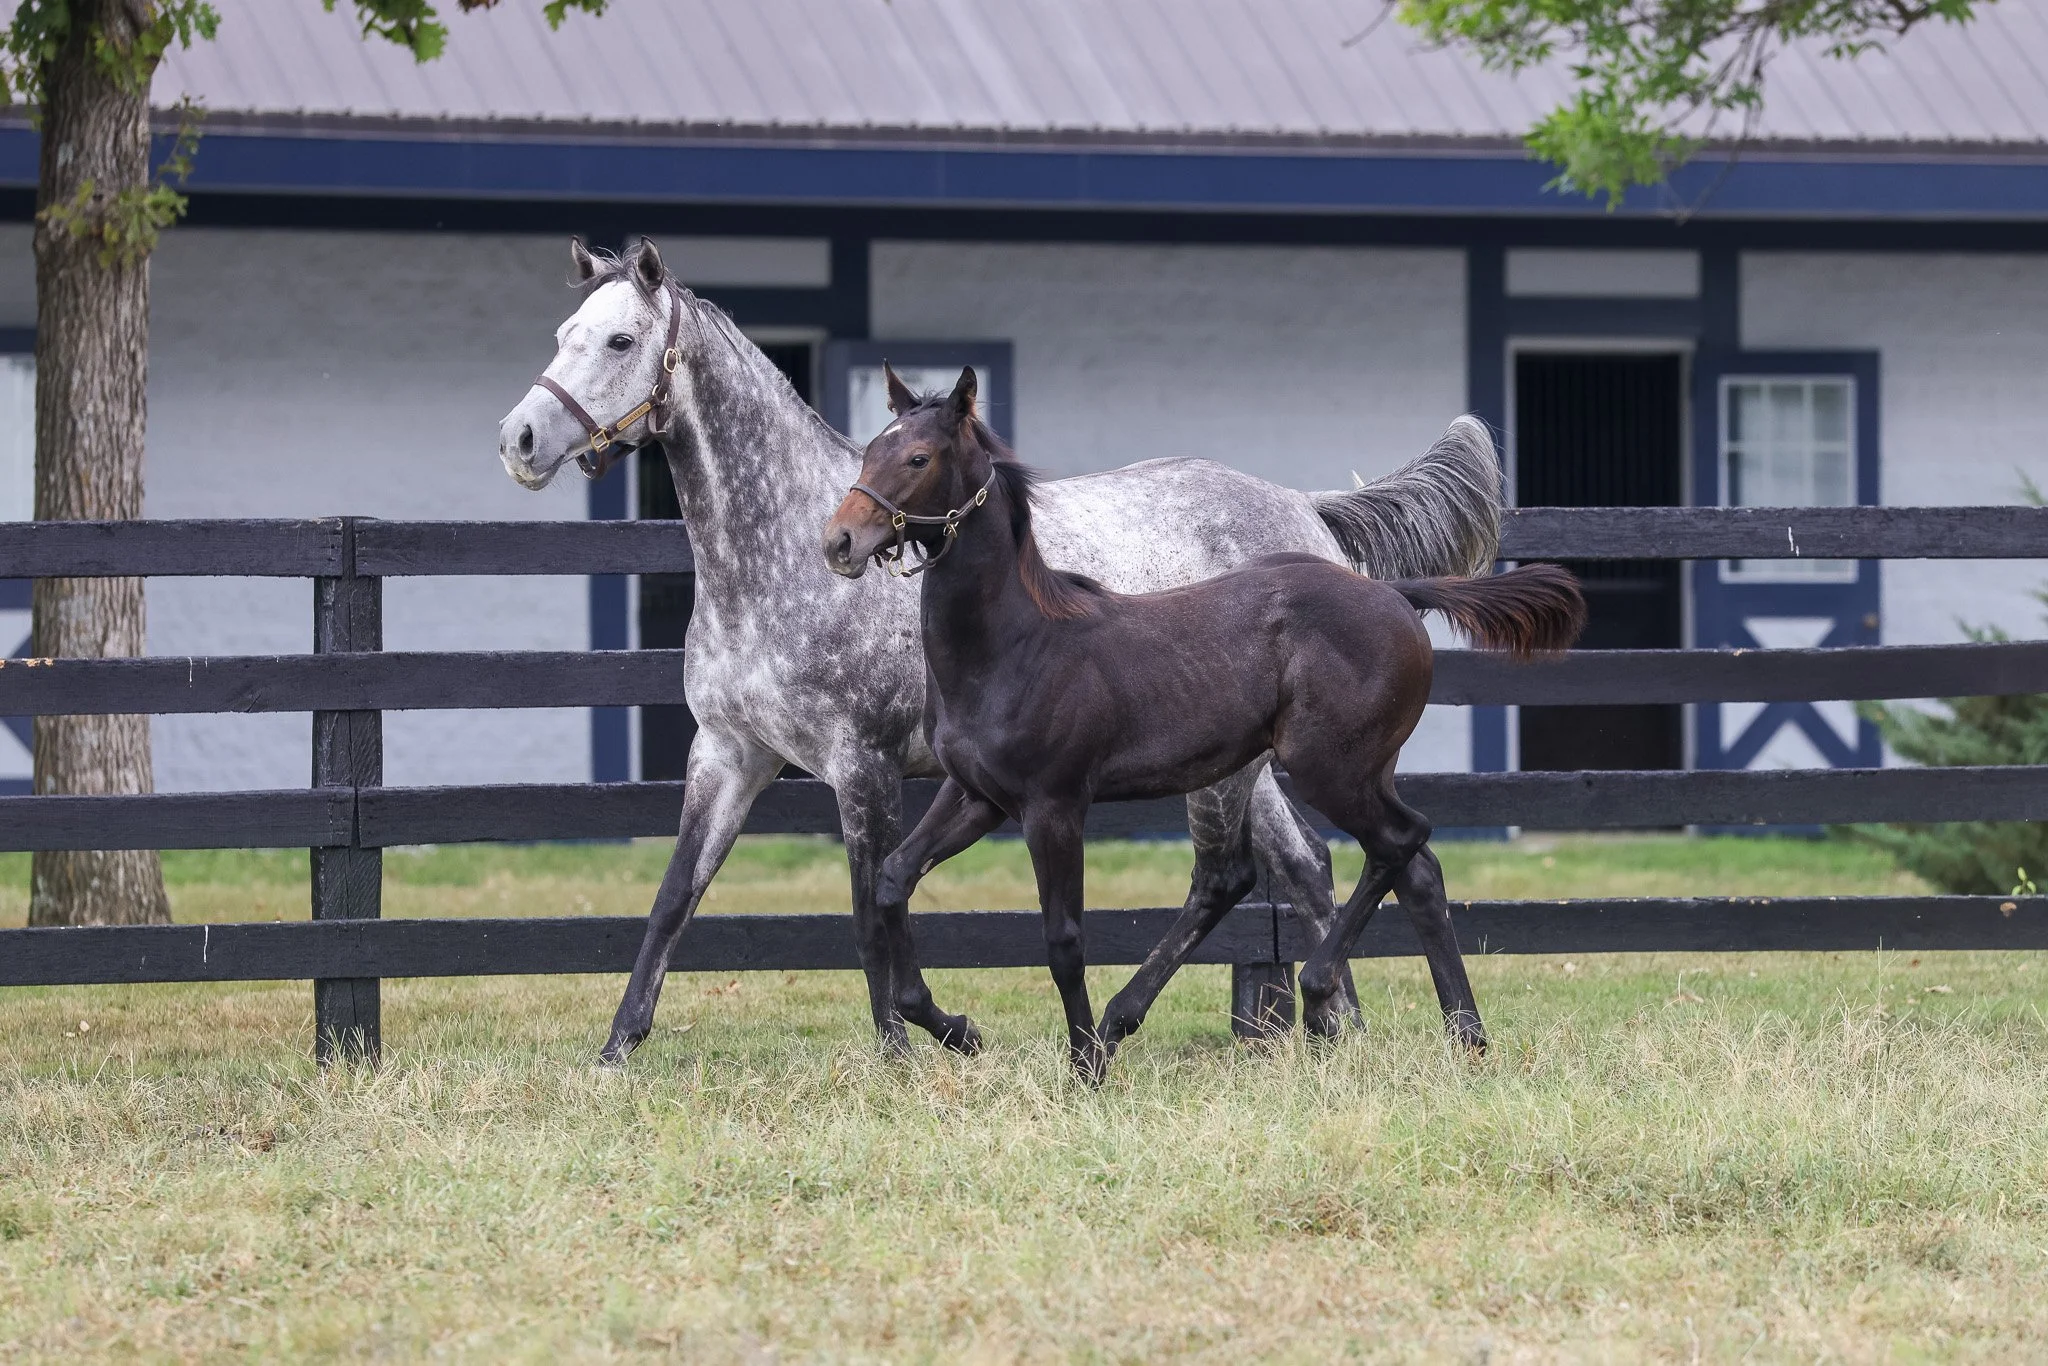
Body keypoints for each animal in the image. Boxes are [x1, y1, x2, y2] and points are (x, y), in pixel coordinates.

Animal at [496, 236, 1506, 1067]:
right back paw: (1354, 1026)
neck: (775, 558)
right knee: (1325, 866)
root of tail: (1311, 513)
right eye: (562, 332)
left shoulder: (860, 763)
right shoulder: (729, 753)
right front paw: (617, 1049)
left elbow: (868, 910)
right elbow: (675, 897)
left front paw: (907, 1048)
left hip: (1247, 767)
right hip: (1242, 764)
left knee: (1318, 864)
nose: (520, 440)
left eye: (620, 340)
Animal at [825, 365, 1584, 1081]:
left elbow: (1063, 938)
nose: (840, 541)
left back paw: (1308, 993)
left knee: (1393, 844)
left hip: (1326, 767)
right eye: (871, 449)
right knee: (1407, 866)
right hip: (1350, 770)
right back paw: (1466, 1035)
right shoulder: (976, 795)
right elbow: (892, 879)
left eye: (919, 457)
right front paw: (958, 1029)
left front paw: (1082, 1066)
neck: (1014, 643)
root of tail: (1392, 592)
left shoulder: (1054, 805)